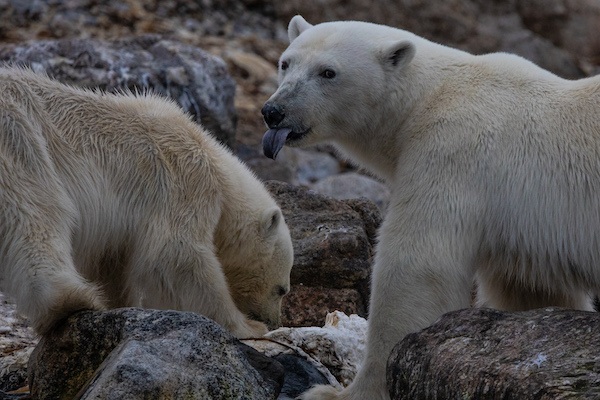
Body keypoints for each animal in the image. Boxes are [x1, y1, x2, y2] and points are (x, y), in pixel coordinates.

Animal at [0, 67, 294, 340]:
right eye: (281, 289)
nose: (273, 322)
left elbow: (111, 262)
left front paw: (122, 305)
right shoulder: (185, 181)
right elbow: (177, 255)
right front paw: (246, 326)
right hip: (22, 138)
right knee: (35, 213)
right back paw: (69, 302)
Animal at [262, 15, 600, 400]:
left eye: (328, 72)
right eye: (286, 63)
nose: (274, 111)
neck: (426, 98)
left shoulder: (452, 151)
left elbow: (416, 267)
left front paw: (339, 393)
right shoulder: (524, 233)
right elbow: (532, 290)